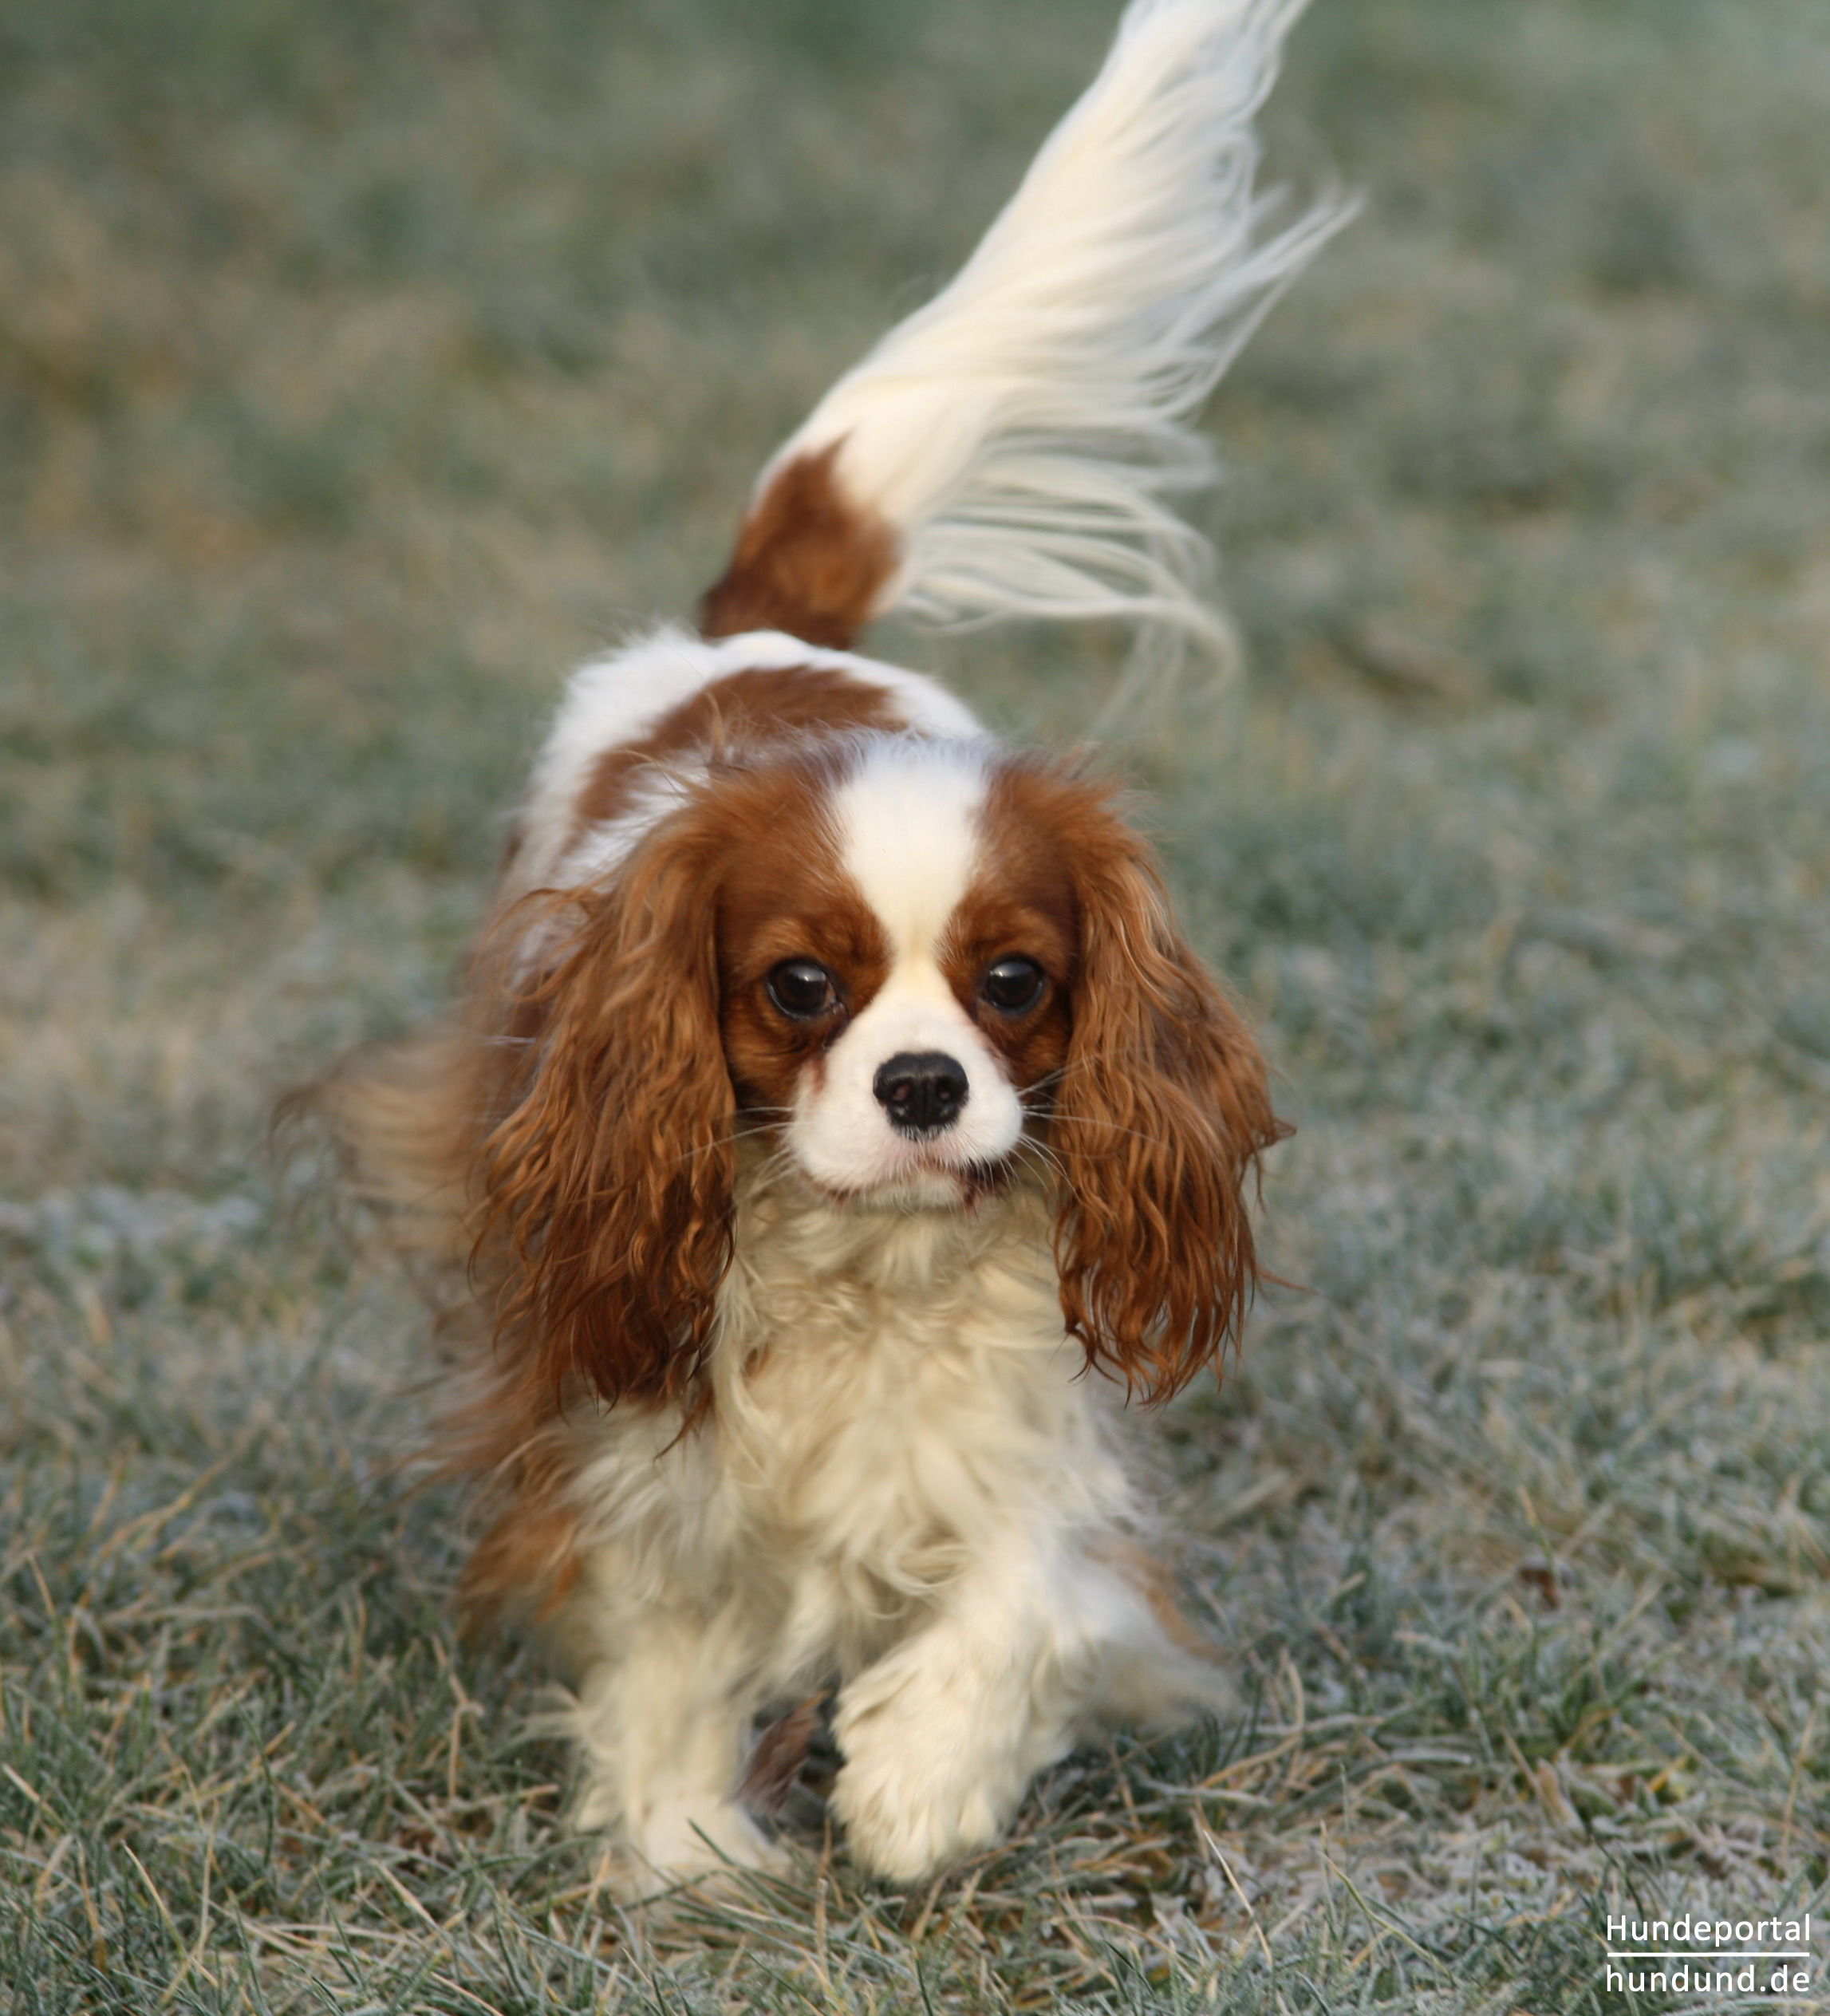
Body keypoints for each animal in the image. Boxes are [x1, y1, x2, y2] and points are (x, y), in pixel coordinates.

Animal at [336, 0, 1346, 1887]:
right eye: (799, 988)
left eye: (1016, 983)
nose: (928, 1082)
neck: (870, 1278)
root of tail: (754, 632)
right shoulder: (630, 1421)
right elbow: (669, 1637)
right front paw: (682, 1850)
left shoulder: (1030, 1435)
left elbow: (1028, 1587)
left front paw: (923, 1775)